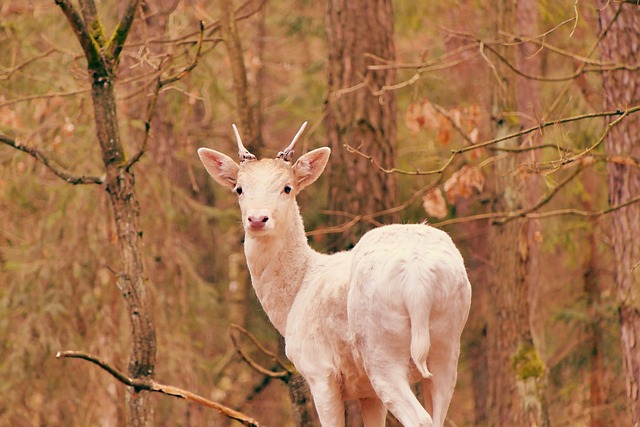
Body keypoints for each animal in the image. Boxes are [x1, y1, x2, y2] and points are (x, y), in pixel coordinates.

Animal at [198, 123, 472, 427]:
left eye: (287, 187)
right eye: (239, 188)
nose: (257, 219)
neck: (294, 297)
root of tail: (418, 278)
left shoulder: (318, 369)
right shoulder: (366, 391)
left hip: (380, 346)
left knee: (419, 418)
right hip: (448, 343)